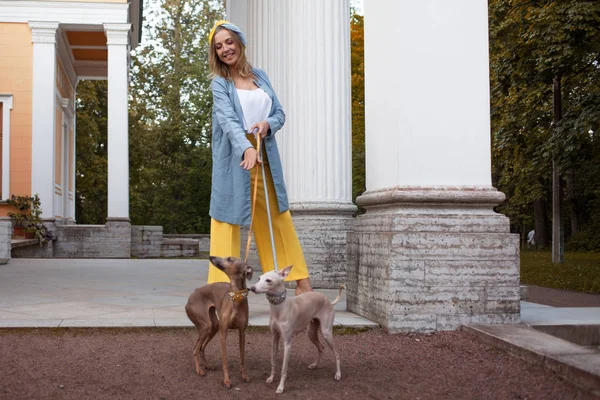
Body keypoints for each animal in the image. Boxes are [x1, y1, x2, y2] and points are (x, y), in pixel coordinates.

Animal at [184, 256, 252, 388]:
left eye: (229, 259)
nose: (211, 257)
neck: (236, 297)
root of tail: (191, 296)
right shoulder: (223, 333)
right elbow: (225, 360)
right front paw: (227, 380)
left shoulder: (242, 333)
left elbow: (242, 358)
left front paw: (245, 375)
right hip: (206, 326)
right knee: (195, 349)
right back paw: (199, 370)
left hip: (213, 326)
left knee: (201, 348)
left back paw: (207, 365)